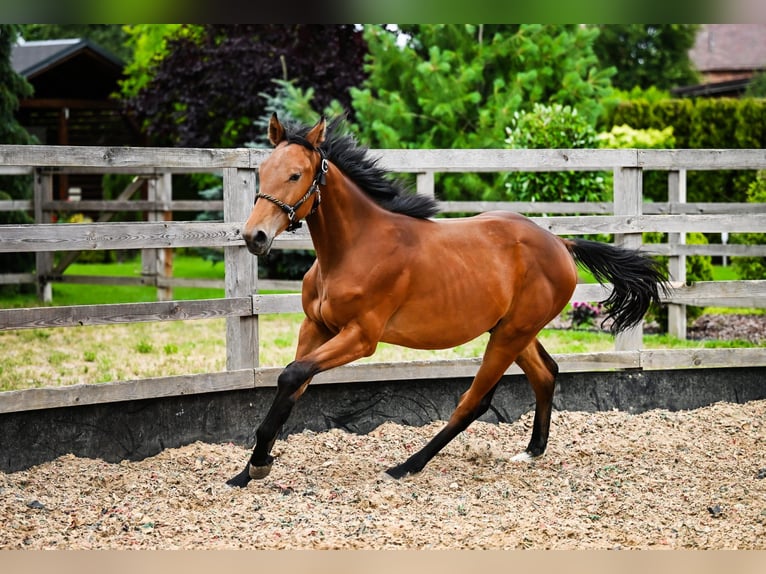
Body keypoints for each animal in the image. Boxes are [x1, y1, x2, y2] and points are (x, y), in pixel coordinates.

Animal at [227, 113, 670, 488]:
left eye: (296, 174)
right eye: (262, 173)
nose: (255, 237)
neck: (353, 249)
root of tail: (561, 243)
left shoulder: (361, 337)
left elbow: (292, 375)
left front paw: (258, 464)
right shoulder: (315, 326)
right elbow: (295, 383)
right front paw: (248, 470)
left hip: (510, 334)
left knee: (474, 401)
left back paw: (407, 466)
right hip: (513, 330)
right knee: (545, 373)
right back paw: (532, 451)